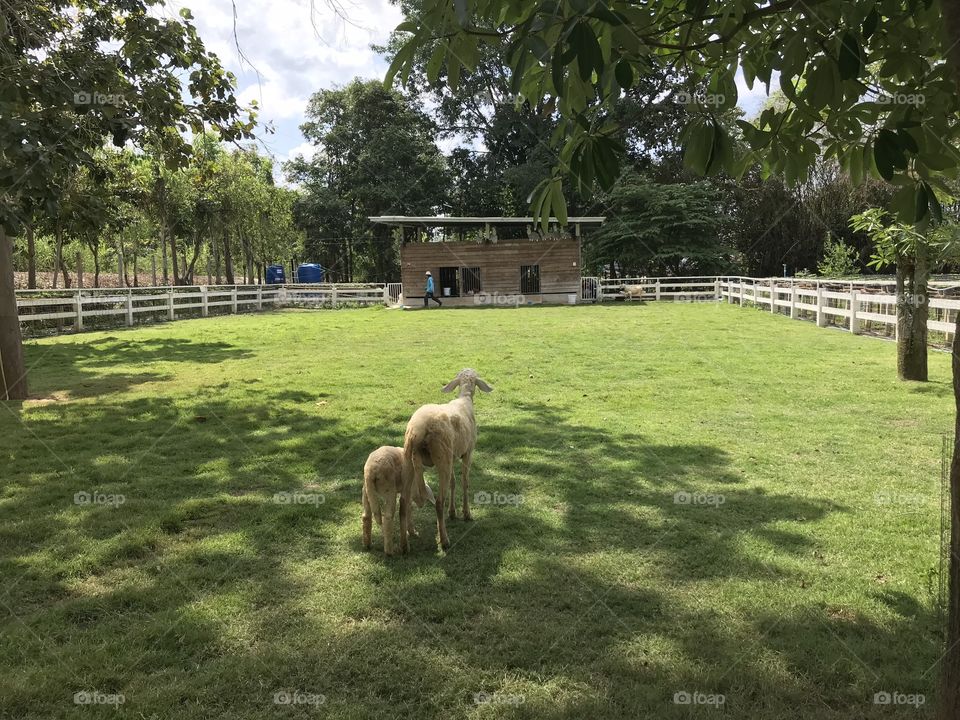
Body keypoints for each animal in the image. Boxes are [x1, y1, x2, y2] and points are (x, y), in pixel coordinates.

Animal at [400, 368, 493, 552]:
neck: (465, 398)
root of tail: (418, 430)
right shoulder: (467, 452)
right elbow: (464, 482)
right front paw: (466, 513)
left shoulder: (453, 456)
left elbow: (453, 482)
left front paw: (453, 512)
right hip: (441, 457)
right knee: (438, 502)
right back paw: (444, 540)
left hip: (412, 459)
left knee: (404, 501)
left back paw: (407, 540)